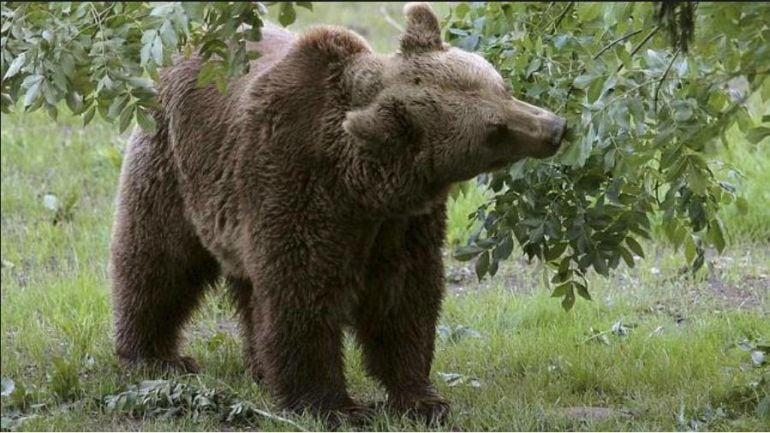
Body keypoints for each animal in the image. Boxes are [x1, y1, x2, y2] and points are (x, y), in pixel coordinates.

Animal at [108, 1, 564, 424]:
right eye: (494, 130)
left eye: (501, 86)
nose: (555, 128)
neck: (362, 187)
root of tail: (185, 45)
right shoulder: (299, 185)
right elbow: (305, 297)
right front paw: (335, 405)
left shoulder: (401, 224)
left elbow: (405, 300)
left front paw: (422, 399)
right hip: (173, 162)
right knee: (159, 258)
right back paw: (155, 356)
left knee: (245, 284)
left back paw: (259, 367)